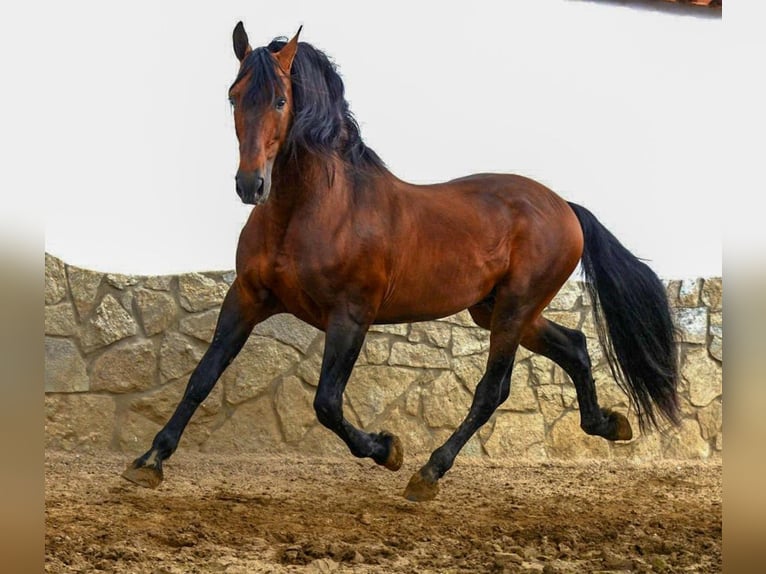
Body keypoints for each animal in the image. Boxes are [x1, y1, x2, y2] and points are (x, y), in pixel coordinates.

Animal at [123, 22, 680, 502]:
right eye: (234, 96)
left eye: (280, 99)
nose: (250, 185)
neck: (312, 210)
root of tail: (565, 207)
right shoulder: (247, 298)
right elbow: (202, 376)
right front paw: (149, 461)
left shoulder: (351, 315)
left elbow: (326, 403)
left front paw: (387, 449)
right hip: (499, 309)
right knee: (576, 346)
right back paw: (609, 424)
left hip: (514, 310)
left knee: (492, 390)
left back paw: (428, 473)